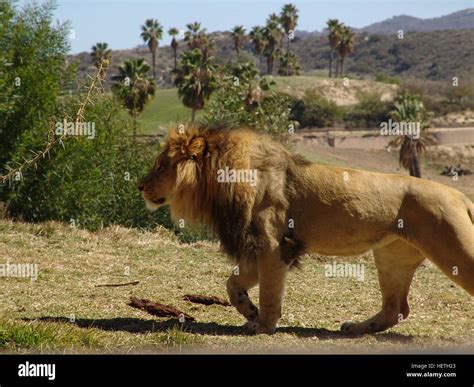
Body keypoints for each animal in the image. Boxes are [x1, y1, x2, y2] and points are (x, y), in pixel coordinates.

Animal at [140, 125, 474, 336]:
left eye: (160, 166)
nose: (140, 186)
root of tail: (460, 196)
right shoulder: (259, 247)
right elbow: (232, 284)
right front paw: (249, 312)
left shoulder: (273, 247)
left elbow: (270, 291)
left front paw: (263, 325)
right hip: (393, 257)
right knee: (397, 309)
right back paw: (354, 329)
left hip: (454, 250)